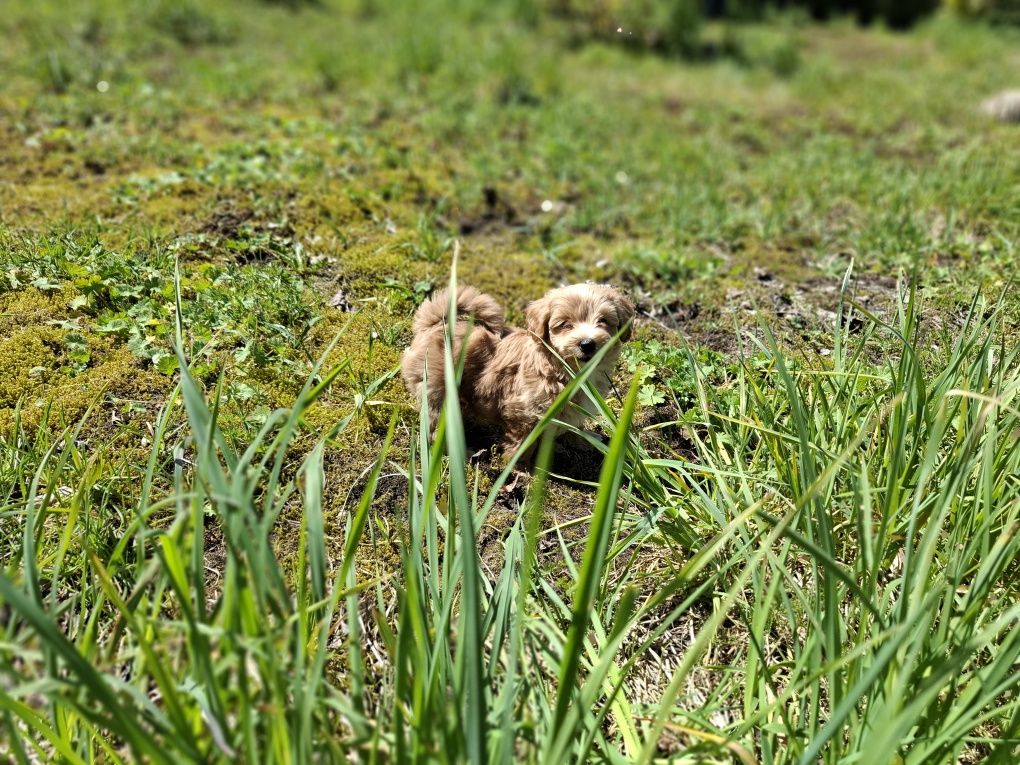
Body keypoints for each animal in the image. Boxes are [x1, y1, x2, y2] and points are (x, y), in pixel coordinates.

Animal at [399, 283, 632, 459]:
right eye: (565, 324)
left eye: (603, 321)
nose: (587, 344)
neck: (569, 371)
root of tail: (434, 324)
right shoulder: (524, 411)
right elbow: (522, 443)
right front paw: (520, 468)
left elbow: (576, 424)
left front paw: (584, 439)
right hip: (436, 389)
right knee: (434, 425)